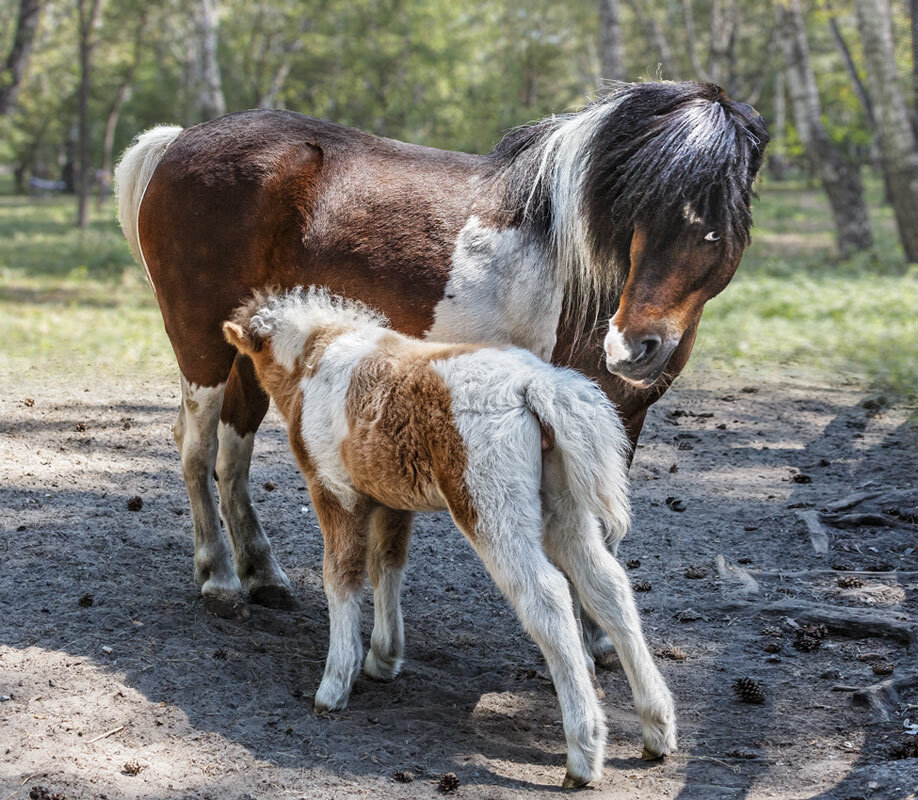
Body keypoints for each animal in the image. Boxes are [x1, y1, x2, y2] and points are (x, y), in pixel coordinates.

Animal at [117, 83, 776, 632]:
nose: (630, 347)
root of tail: (178, 141)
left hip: (255, 351)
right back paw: (220, 581)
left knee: (234, 450)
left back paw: (264, 577)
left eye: (717, 227)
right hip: (200, 344)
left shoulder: (624, 416)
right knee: (198, 446)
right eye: (635, 214)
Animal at [217, 288, 676, 788]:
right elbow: (387, 566)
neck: (316, 359)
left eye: (248, 357)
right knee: (608, 587)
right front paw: (384, 659)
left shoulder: (335, 491)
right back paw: (657, 727)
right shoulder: (392, 500)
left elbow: (341, 578)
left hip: (492, 511)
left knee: (548, 598)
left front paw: (334, 685)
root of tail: (536, 385)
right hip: (564, 511)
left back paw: (583, 753)